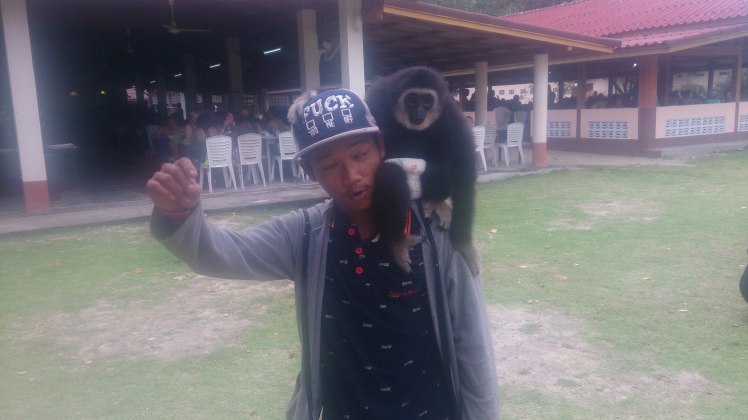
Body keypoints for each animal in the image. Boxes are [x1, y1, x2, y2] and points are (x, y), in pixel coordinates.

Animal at [366, 66, 481, 275]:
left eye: (427, 100)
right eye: (411, 100)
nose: (419, 111)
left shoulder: (449, 112)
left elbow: (464, 167)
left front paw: (464, 245)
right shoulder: (377, 99)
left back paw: (436, 200)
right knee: (390, 172)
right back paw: (397, 241)